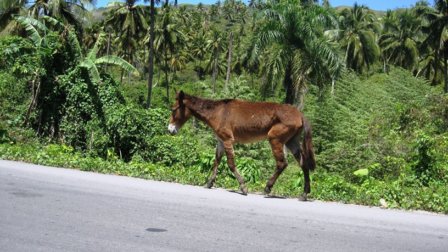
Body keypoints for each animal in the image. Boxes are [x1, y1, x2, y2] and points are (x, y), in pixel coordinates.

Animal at [167, 91, 316, 200]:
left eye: (173, 109)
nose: (170, 130)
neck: (217, 112)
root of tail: (299, 114)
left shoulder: (227, 140)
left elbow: (230, 164)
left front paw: (243, 187)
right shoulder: (220, 141)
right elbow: (216, 161)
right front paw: (209, 182)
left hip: (275, 139)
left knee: (282, 164)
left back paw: (268, 188)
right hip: (291, 141)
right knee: (303, 164)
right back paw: (304, 194)